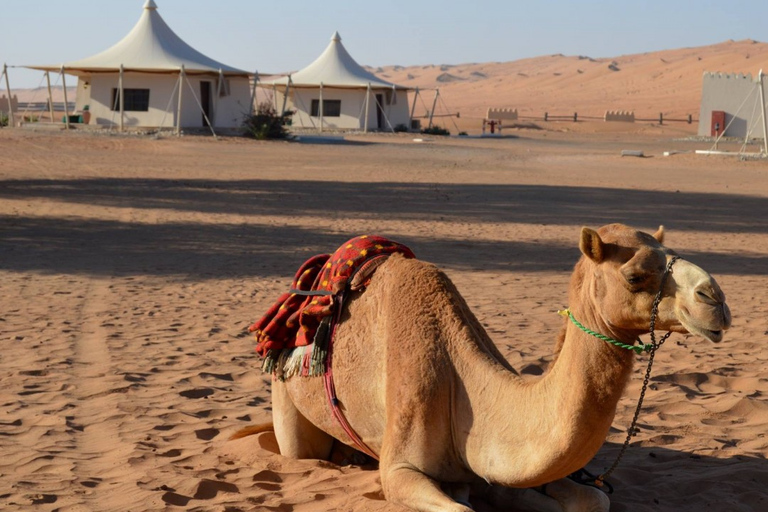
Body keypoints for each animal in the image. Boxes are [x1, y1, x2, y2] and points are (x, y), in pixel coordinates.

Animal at [237, 225, 728, 512]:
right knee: (293, 448)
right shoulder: (400, 469)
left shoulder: (493, 467)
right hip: (285, 397)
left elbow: (593, 500)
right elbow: (457, 506)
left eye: (672, 252)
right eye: (634, 276)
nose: (716, 300)